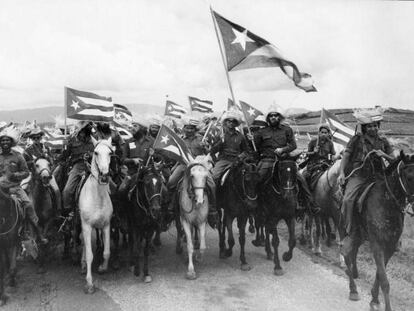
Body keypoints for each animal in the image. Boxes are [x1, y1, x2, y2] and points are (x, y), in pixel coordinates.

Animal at [342, 151, 414, 311]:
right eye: (409, 177)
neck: (387, 203)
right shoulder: (377, 245)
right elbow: (384, 281)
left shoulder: (390, 246)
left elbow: (379, 274)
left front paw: (374, 299)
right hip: (346, 230)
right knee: (346, 253)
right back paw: (353, 290)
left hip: (360, 235)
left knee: (351, 252)